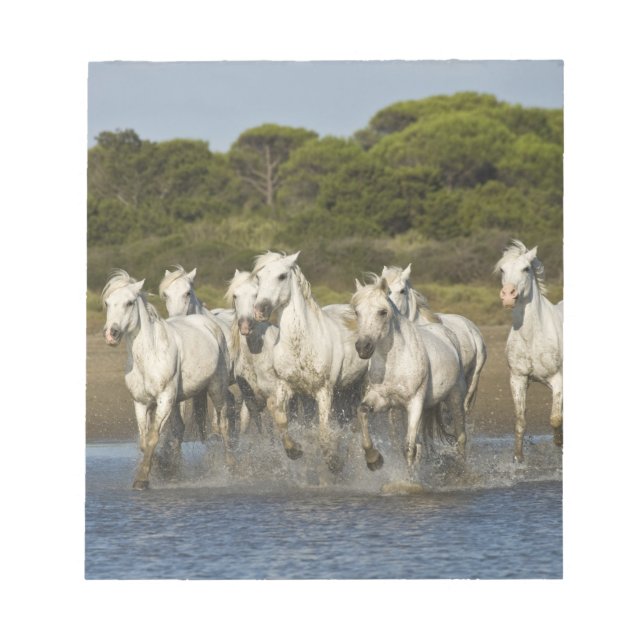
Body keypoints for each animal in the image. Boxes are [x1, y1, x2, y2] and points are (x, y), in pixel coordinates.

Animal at [102, 270, 234, 489]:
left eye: (129, 303)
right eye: (107, 302)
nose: (111, 334)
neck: (150, 354)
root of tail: (210, 324)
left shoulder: (164, 399)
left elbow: (153, 437)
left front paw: (142, 480)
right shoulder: (141, 403)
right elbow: (144, 441)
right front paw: (162, 467)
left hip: (217, 389)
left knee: (223, 425)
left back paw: (230, 466)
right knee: (180, 429)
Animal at [252, 251, 367, 472]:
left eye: (282, 276)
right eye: (258, 278)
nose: (260, 310)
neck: (301, 344)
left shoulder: (324, 391)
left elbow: (323, 432)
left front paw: (333, 462)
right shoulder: (285, 387)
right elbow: (280, 419)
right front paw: (294, 450)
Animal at [351, 275, 467, 472]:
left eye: (382, 312)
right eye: (357, 312)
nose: (363, 347)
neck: (395, 362)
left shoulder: (414, 403)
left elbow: (408, 448)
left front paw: (409, 477)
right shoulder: (382, 399)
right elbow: (362, 411)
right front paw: (374, 459)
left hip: (455, 397)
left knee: (461, 437)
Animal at [494, 240, 563, 462]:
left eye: (526, 268)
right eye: (502, 269)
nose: (508, 295)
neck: (532, 337)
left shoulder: (558, 380)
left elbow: (556, 418)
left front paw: (559, 443)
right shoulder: (518, 378)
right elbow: (520, 421)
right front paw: (518, 459)